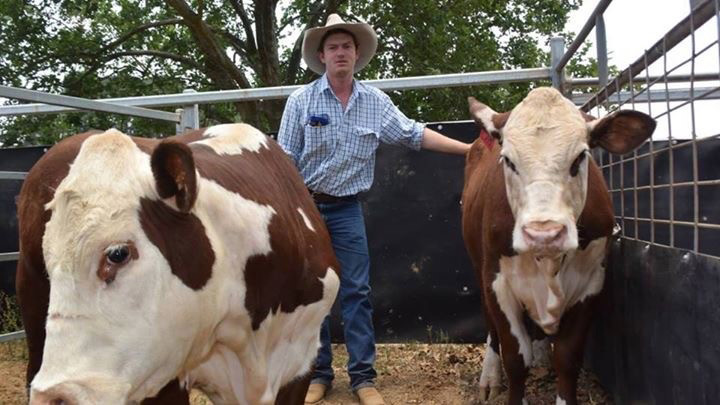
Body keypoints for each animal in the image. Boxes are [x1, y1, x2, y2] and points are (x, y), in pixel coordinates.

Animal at [462, 88, 660, 404]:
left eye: (580, 157)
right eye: (508, 160)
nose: (544, 234)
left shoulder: (592, 281)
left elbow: (567, 357)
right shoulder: (498, 281)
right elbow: (515, 358)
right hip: (478, 266)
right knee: (491, 327)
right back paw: (490, 376)